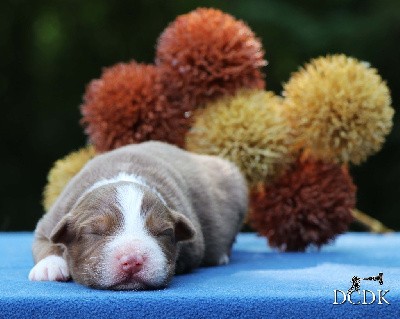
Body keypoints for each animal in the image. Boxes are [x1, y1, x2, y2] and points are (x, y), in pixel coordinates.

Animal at [28, 141, 247, 292]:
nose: (133, 261)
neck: (122, 173)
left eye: (163, 233)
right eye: (94, 232)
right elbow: (45, 241)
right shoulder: (53, 219)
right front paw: (50, 266)